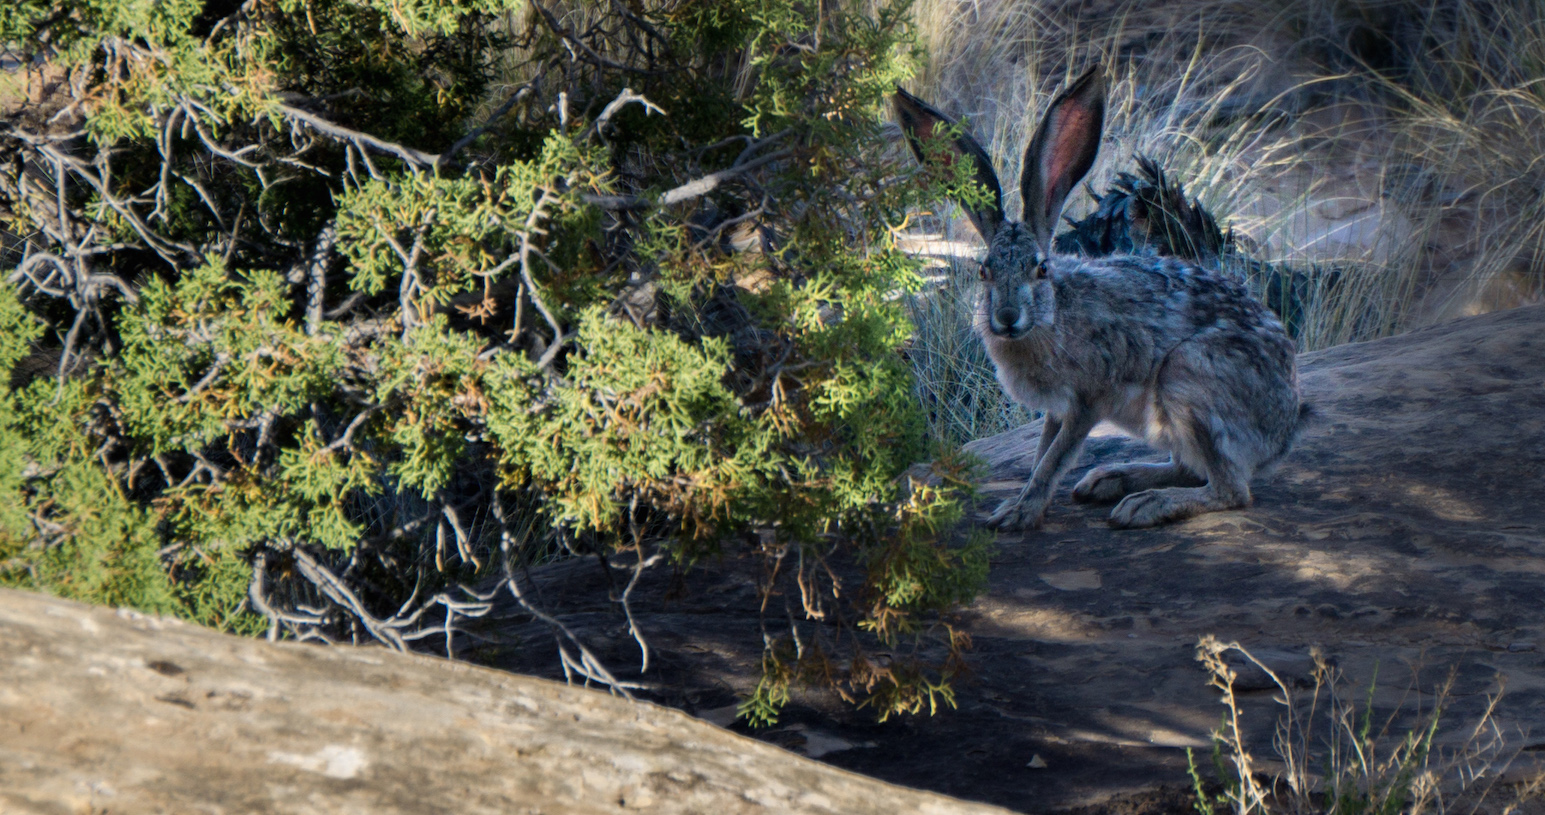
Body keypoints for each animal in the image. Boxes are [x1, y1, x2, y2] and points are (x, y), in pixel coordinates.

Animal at [893, 66, 1312, 531]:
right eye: (984, 271)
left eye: (1041, 269)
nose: (1006, 317)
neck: (1054, 316)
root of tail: (1284, 428)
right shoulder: (1057, 409)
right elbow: (1043, 453)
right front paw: (1027, 503)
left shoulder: (1087, 400)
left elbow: (1054, 458)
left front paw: (1018, 513)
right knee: (1192, 468)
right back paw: (1111, 480)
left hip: (1186, 379)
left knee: (1231, 490)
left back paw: (1145, 505)